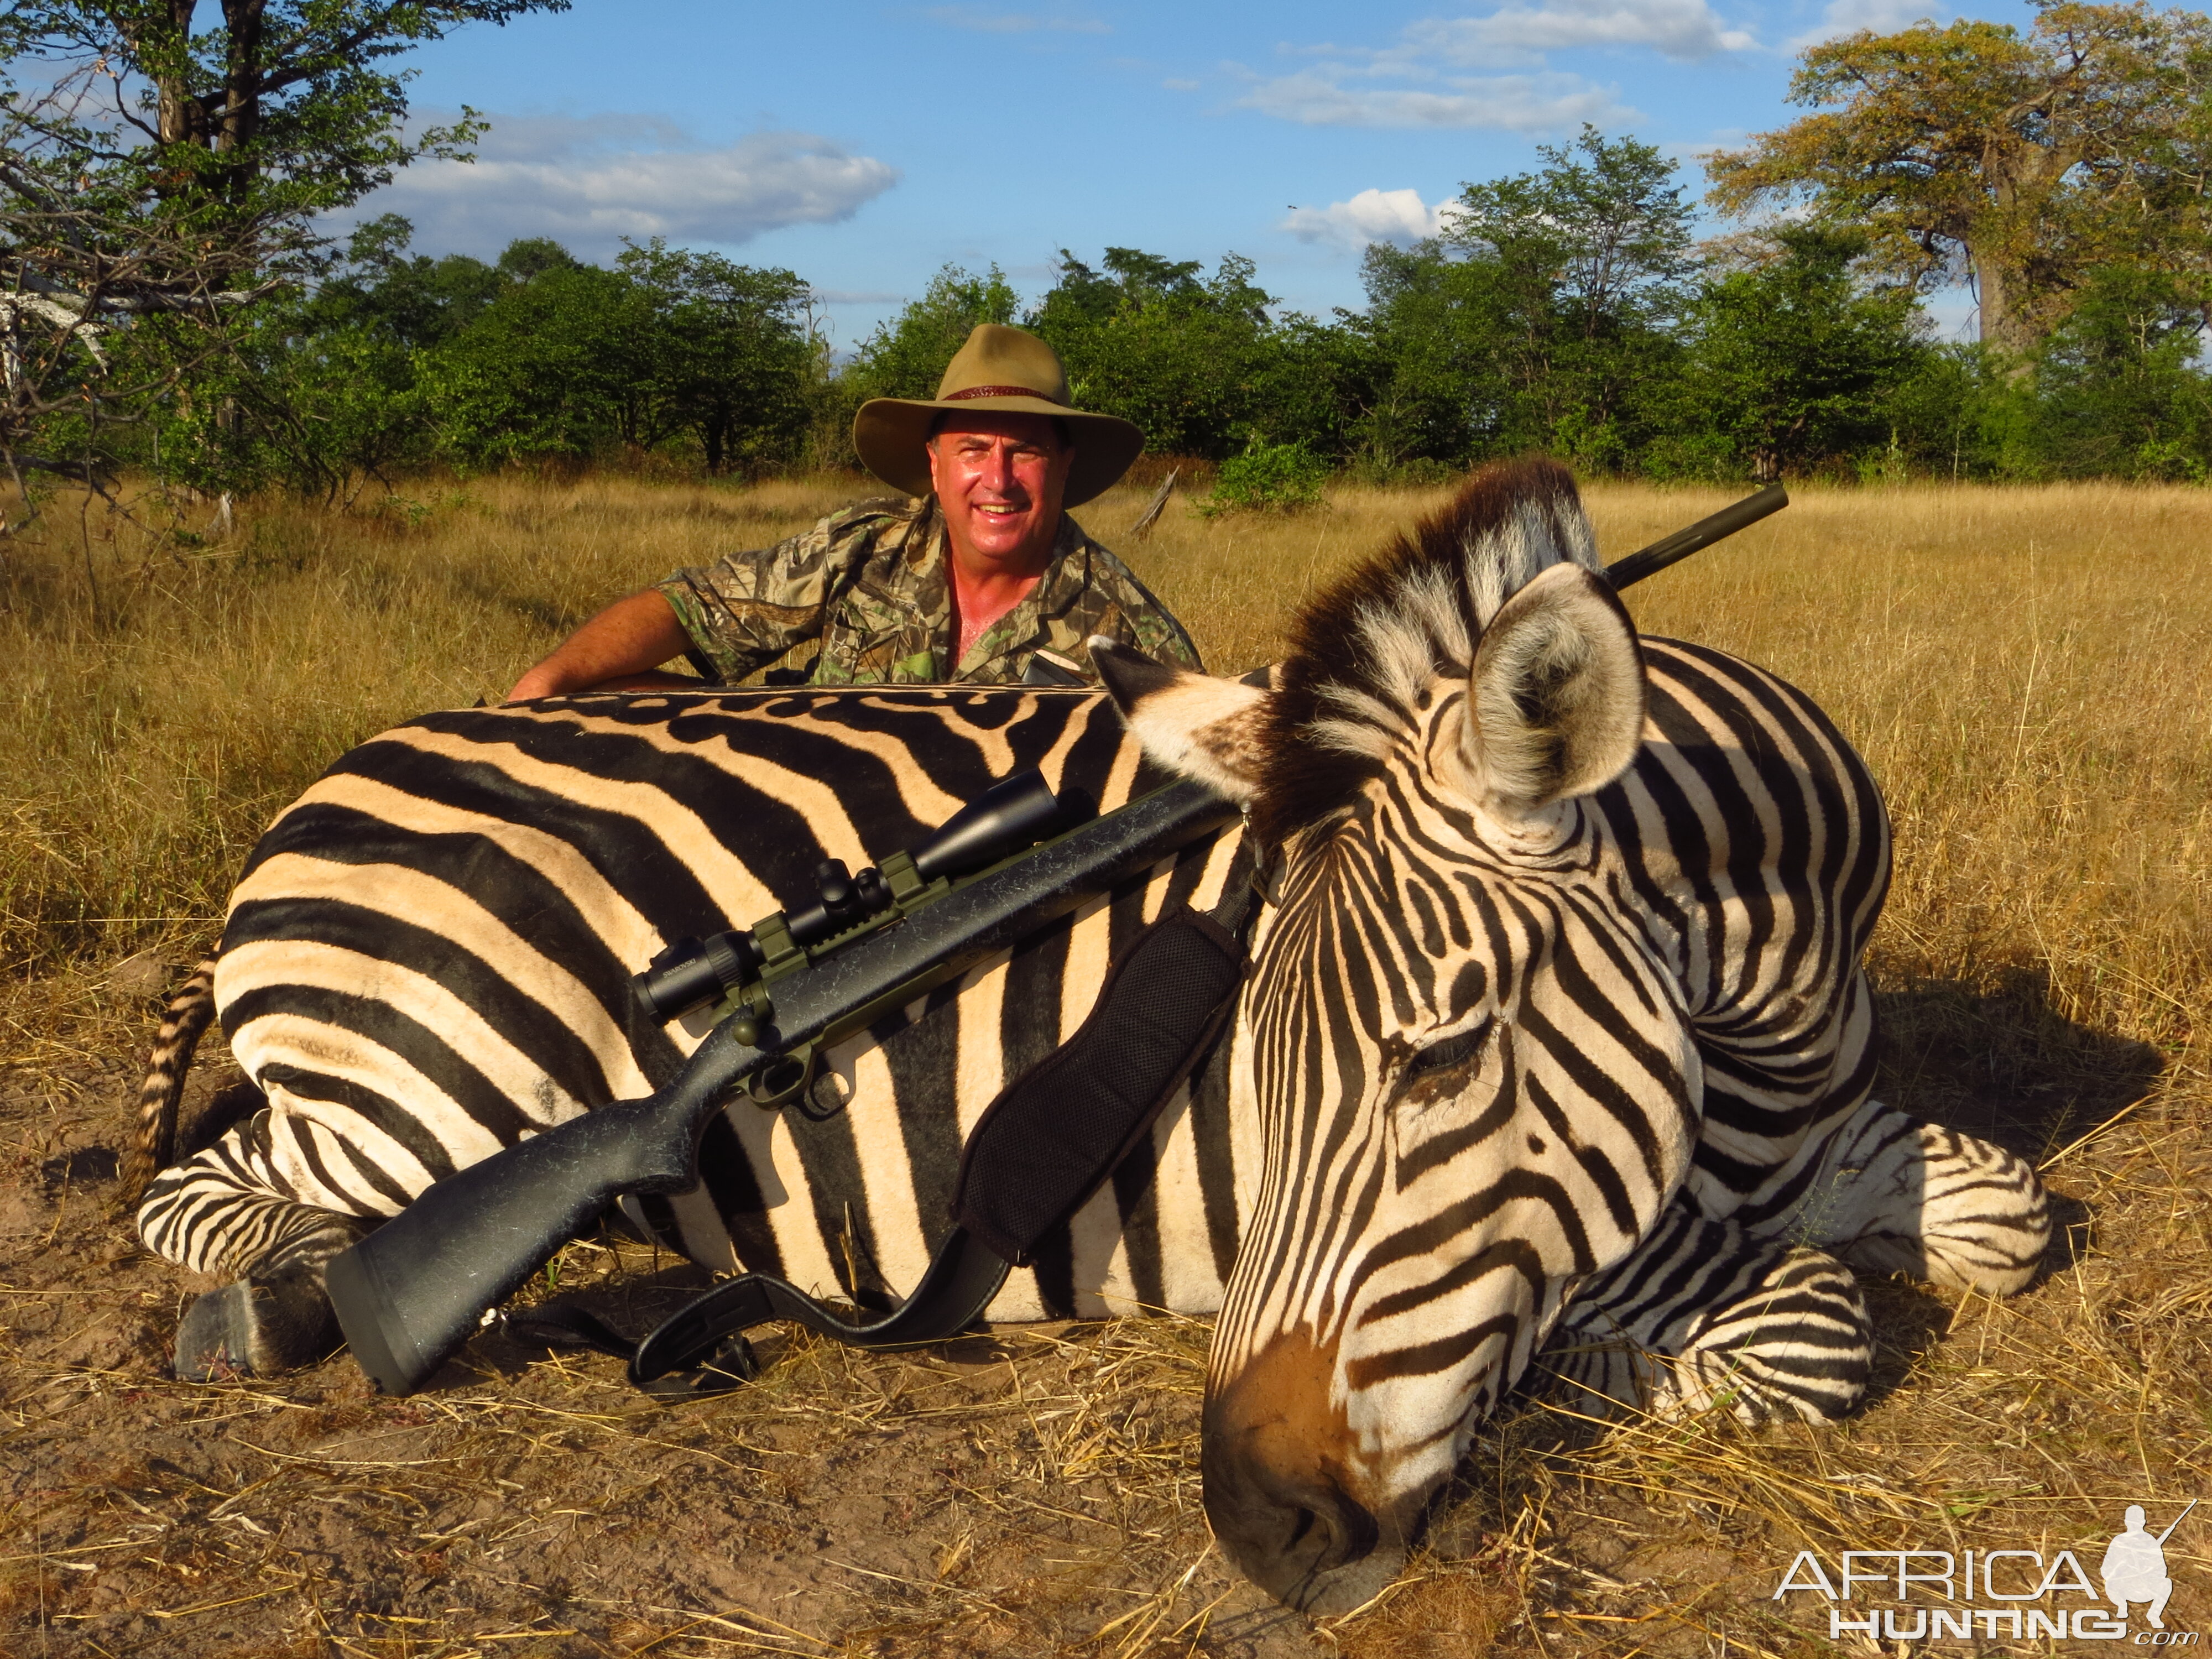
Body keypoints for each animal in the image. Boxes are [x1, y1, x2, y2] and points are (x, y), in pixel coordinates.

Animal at [126, 451, 2053, 1610]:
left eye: (1438, 1059)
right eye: (1255, 1059)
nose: (1261, 1522)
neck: (1764, 1021)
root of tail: (334, 779)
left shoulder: (1820, 1124)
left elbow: (2007, 1216)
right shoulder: (1623, 1230)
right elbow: (1808, 1328)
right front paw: (1584, 1377)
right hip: (416, 1097)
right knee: (208, 1202)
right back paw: (288, 1307)